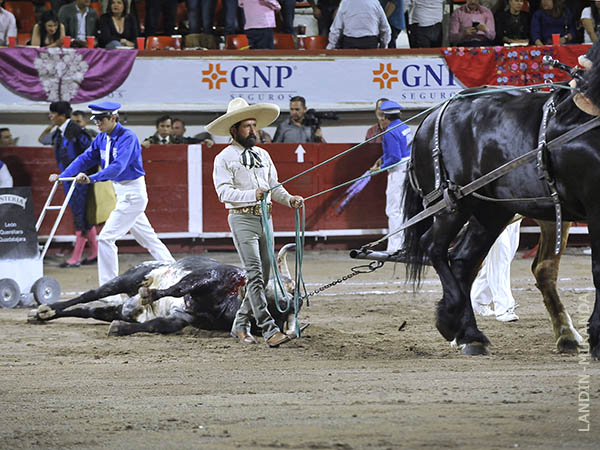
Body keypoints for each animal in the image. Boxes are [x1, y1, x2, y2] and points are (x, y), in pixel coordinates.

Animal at [28, 244, 302, 336]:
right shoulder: (210, 276)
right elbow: (180, 287)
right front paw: (150, 294)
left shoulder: (184, 318)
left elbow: (157, 325)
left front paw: (119, 328)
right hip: (129, 278)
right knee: (91, 294)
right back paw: (46, 308)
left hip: (121, 307)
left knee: (90, 310)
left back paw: (44, 314)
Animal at [404, 68, 600, 358]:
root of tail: (433, 115)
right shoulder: (594, 206)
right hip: (455, 205)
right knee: (434, 247)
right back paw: (453, 320)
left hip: (492, 210)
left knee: (463, 261)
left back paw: (470, 334)